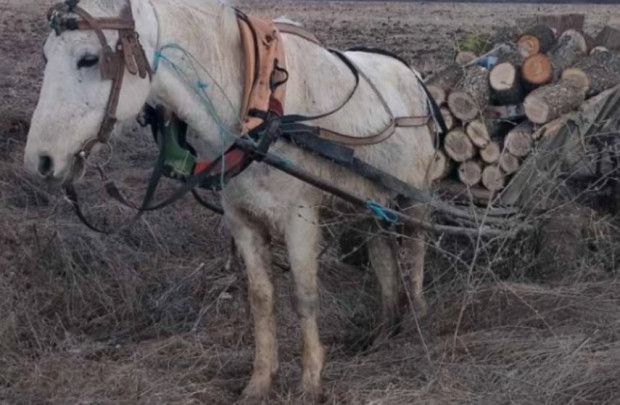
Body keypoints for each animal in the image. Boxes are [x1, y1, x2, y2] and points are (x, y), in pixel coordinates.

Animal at [24, 0, 436, 398]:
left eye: (88, 59)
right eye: (45, 55)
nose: (39, 161)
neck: (257, 106)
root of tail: (415, 78)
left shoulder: (300, 217)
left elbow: (304, 295)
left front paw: (310, 382)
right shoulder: (241, 218)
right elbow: (261, 298)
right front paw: (260, 381)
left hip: (414, 199)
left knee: (416, 248)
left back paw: (418, 317)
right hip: (370, 206)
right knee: (383, 255)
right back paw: (385, 330)